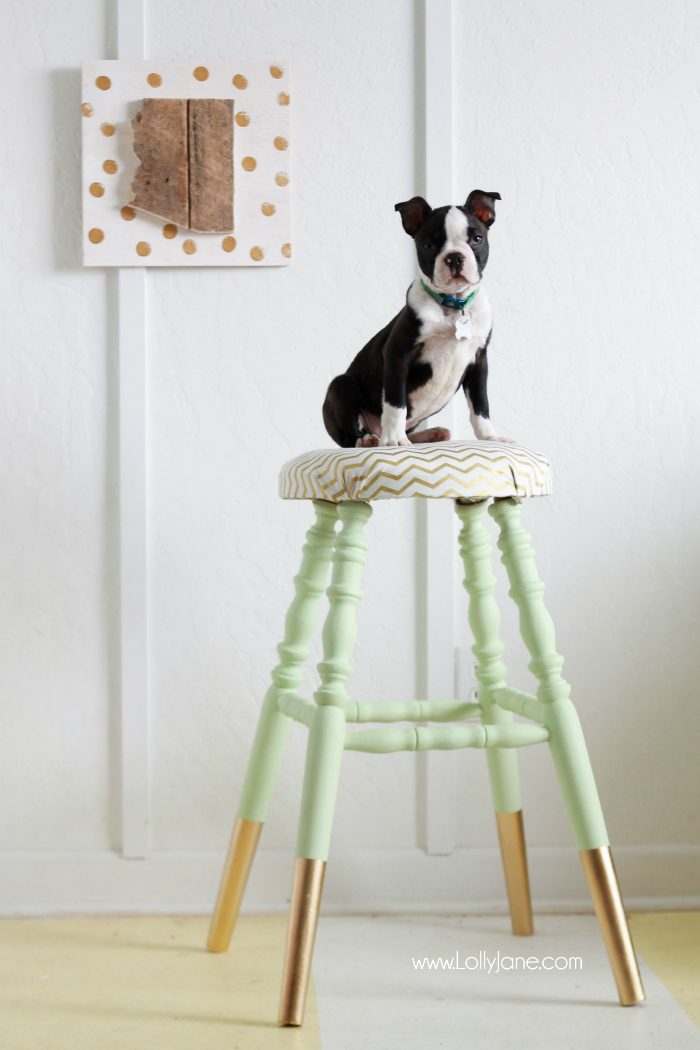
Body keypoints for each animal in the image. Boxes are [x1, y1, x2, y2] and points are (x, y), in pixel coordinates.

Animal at [323, 191, 510, 445]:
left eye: (477, 239)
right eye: (428, 245)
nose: (454, 257)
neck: (453, 305)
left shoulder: (479, 361)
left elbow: (480, 406)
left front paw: (490, 437)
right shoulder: (397, 354)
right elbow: (396, 403)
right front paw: (394, 440)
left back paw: (431, 434)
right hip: (340, 387)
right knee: (349, 438)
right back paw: (370, 439)